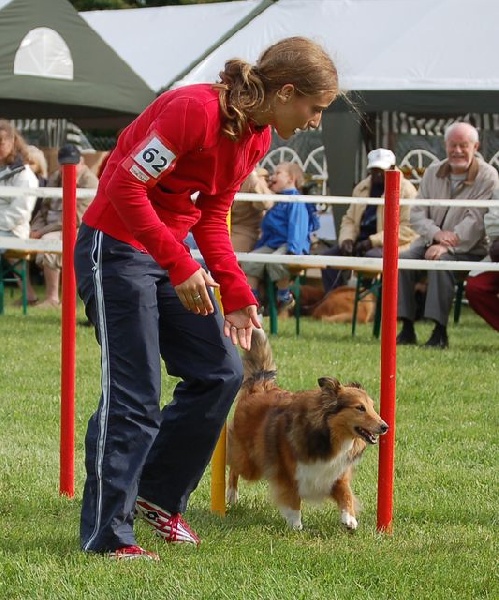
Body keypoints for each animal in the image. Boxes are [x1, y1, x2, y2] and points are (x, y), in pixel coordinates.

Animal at [228, 330, 390, 532]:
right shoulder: (288, 473)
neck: (327, 435)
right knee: (233, 467)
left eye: (372, 407)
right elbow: (293, 499)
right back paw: (231, 496)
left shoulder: (336, 473)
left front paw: (349, 519)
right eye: (360, 408)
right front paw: (296, 524)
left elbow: (346, 493)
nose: (385, 427)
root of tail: (260, 385)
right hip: (250, 464)